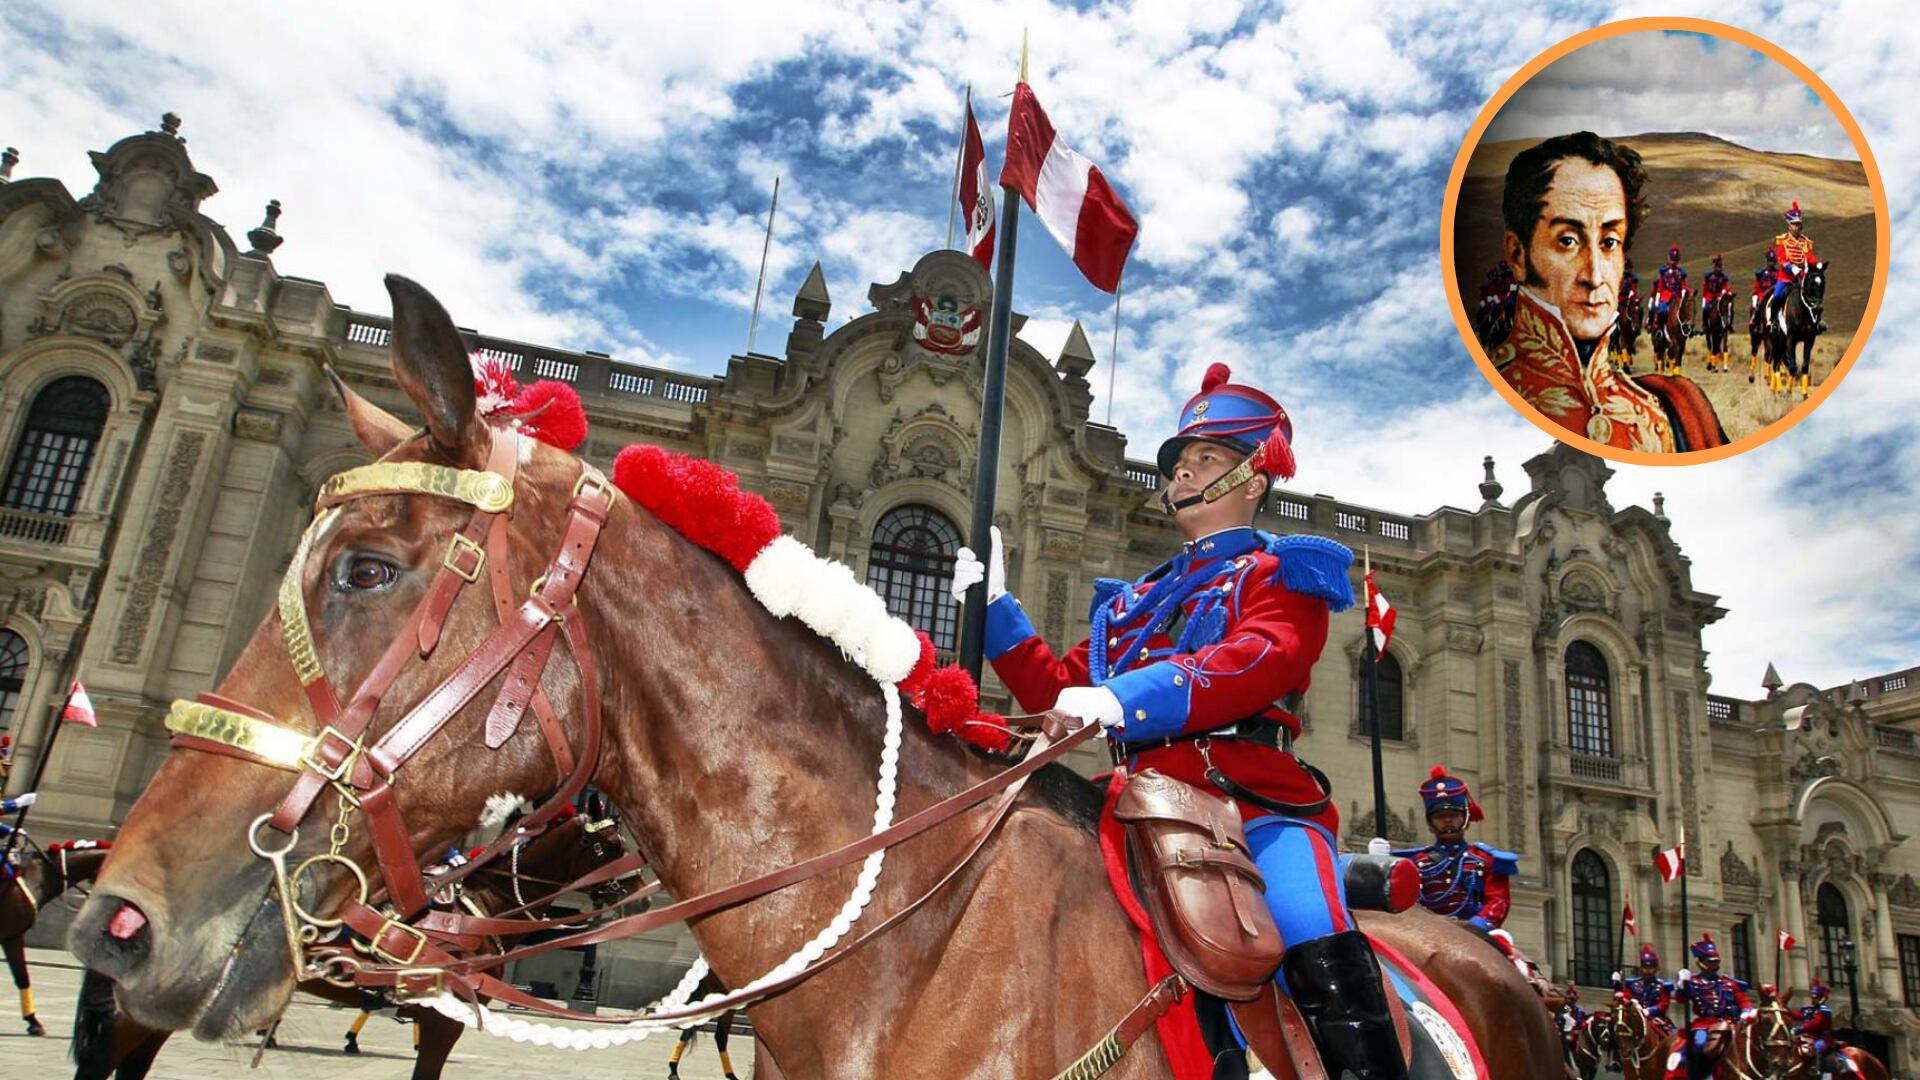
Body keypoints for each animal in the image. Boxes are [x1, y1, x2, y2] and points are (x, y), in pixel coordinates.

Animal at [0, 834, 109, 1037]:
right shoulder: (12, 936)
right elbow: (22, 976)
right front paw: (33, 1021)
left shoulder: (11, 936)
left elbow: (22, 977)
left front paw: (33, 1021)